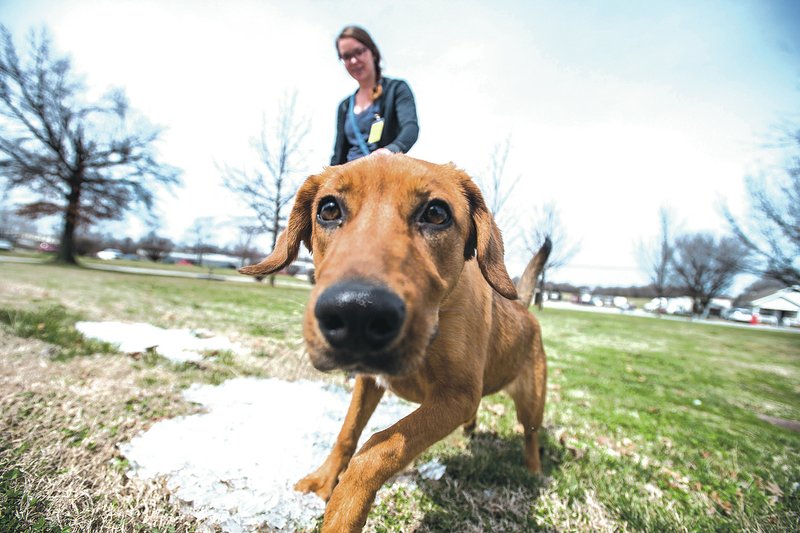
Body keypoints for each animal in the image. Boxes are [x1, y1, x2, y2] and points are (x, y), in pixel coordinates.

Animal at [239, 153, 552, 528]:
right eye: (328, 209)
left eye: (436, 213)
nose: (357, 312)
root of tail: (524, 307)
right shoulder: (369, 381)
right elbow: (348, 433)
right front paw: (325, 480)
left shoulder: (456, 397)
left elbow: (378, 448)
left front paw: (343, 511)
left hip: (531, 401)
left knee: (531, 434)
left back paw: (533, 471)